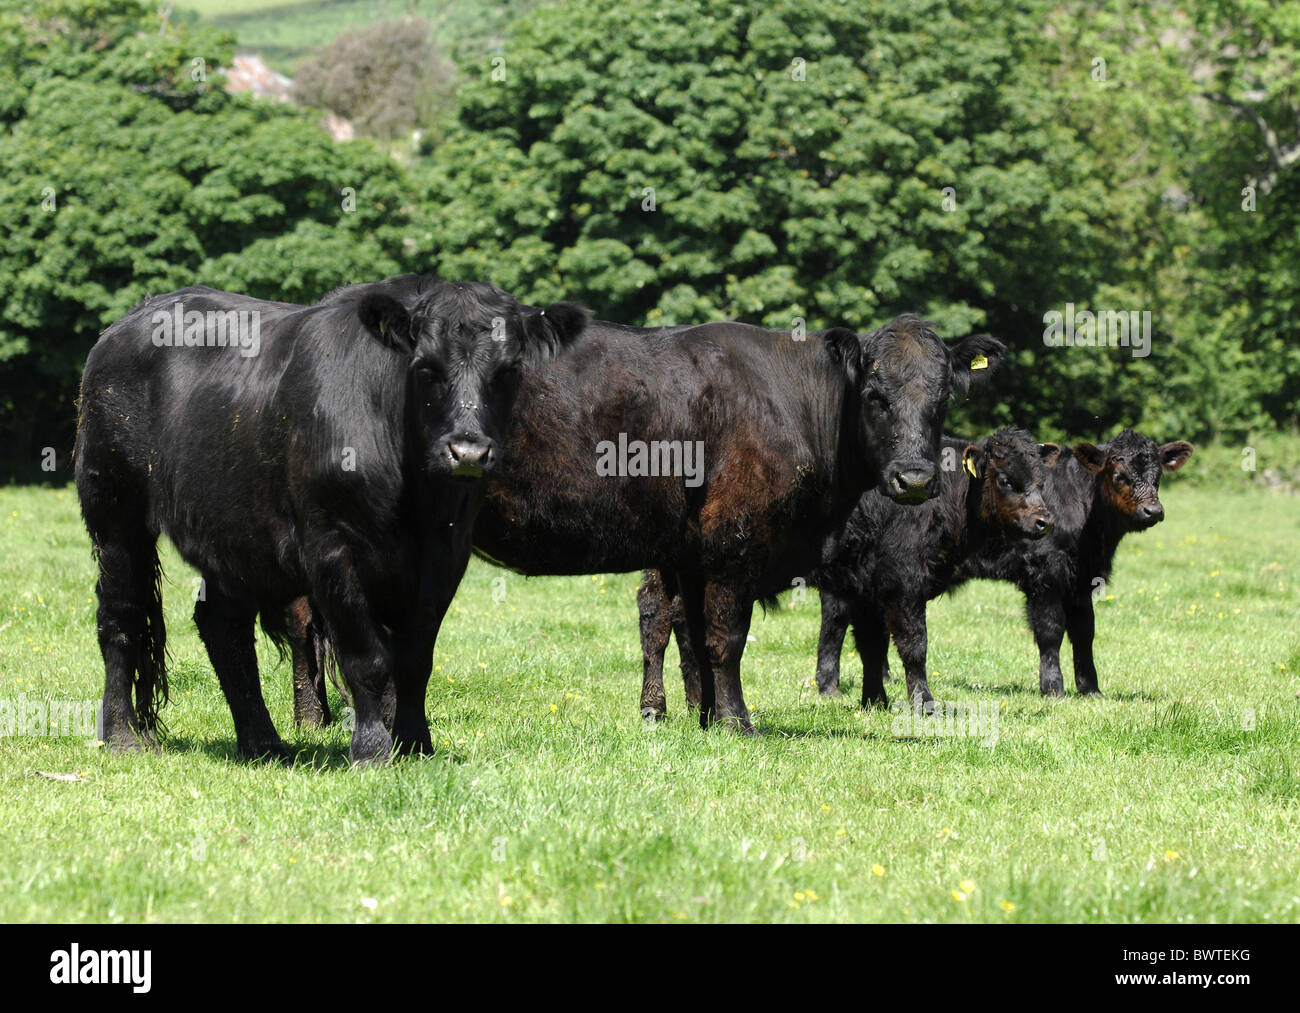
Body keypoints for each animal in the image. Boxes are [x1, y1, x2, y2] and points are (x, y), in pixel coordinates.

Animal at [951, 429, 1190, 697]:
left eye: (1158, 476)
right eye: (1119, 476)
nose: (1153, 510)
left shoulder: (1083, 578)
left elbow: (1085, 631)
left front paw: (1091, 689)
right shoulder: (1045, 572)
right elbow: (1051, 630)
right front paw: (1053, 687)